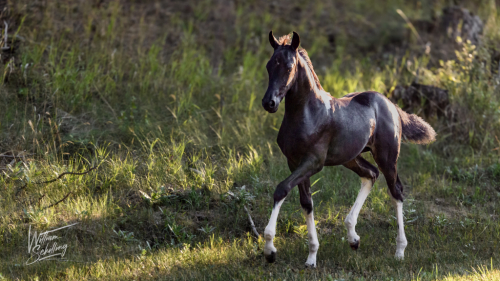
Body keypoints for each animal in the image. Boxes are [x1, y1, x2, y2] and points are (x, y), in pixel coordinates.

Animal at [260, 31, 436, 266]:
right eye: (269, 65)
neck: (308, 114)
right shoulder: (295, 162)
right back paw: (353, 237)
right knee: (371, 174)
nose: (268, 103)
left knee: (396, 191)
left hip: (387, 157)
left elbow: (282, 189)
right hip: (351, 157)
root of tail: (391, 105)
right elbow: (306, 203)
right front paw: (312, 256)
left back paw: (400, 250)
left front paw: (270, 249)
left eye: (288, 67)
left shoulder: (313, 162)